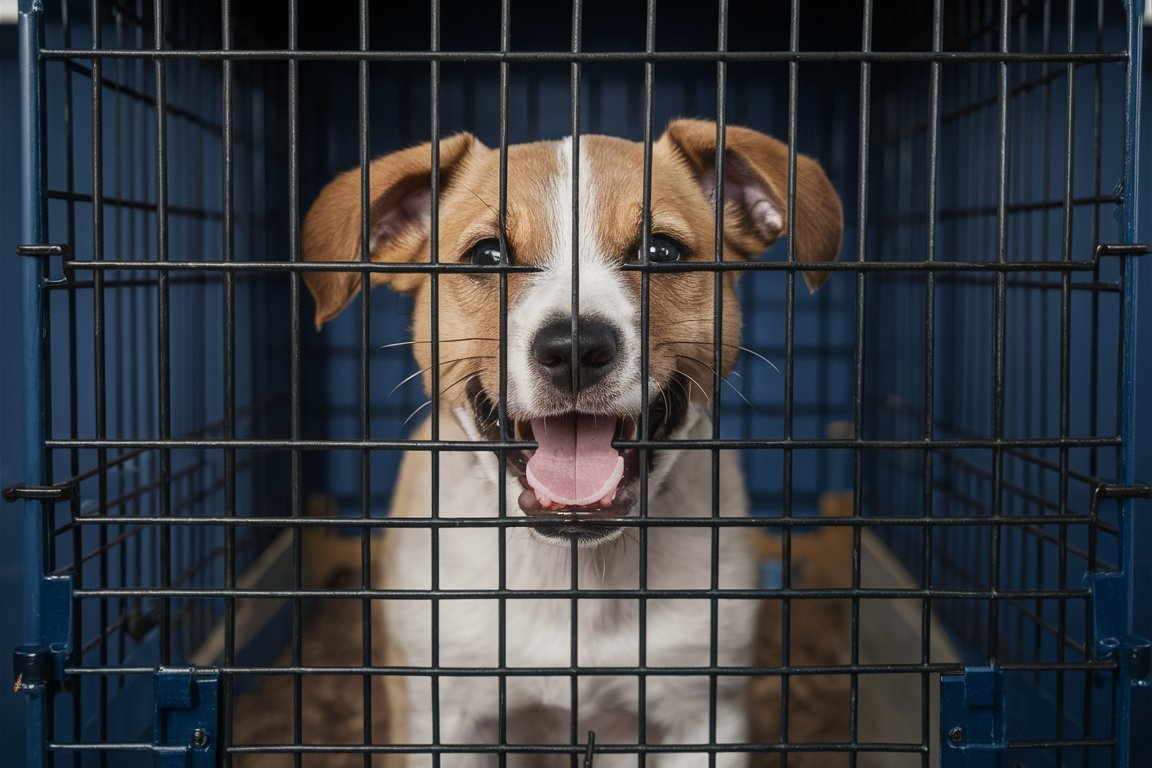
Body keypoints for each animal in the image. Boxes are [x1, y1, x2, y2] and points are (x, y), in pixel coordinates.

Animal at [301, 120, 843, 768]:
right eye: (488, 256)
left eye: (662, 252)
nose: (575, 349)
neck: (575, 572)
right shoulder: (443, 714)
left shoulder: (703, 714)